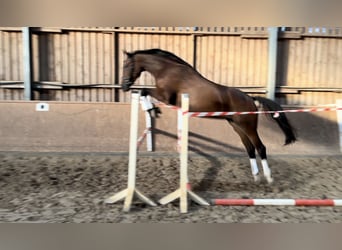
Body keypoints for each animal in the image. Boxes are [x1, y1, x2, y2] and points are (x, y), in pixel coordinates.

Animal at [121, 48, 296, 184]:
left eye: (127, 65)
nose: (123, 86)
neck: (166, 70)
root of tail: (250, 98)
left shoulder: (165, 96)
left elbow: (144, 90)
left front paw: (152, 109)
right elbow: (144, 91)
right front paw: (152, 109)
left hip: (249, 127)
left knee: (260, 147)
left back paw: (269, 178)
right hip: (236, 126)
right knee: (250, 149)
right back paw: (256, 177)